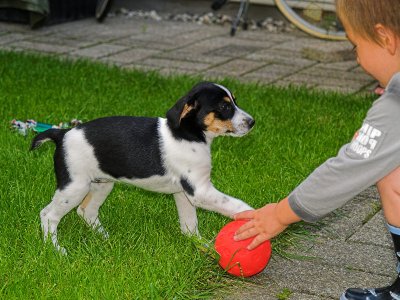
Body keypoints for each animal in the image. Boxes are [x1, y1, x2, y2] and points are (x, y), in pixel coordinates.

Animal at [32, 82, 256, 253]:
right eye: (225, 107)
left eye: (235, 101)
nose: (252, 122)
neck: (190, 134)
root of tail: (62, 134)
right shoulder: (199, 191)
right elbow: (236, 204)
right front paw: (253, 218)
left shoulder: (183, 193)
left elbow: (190, 224)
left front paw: (201, 245)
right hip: (74, 187)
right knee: (48, 215)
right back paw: (56, 249)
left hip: (101, 184)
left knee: (86, 210)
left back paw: (105, 238)